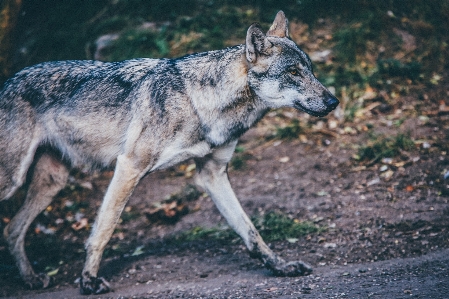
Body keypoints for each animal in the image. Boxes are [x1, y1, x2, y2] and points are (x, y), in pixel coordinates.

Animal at [0, 11, 336, 296]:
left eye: (311, 70)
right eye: (293, 72)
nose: (334, 102)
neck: (200, 103)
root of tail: (7, 81)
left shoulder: (212, 174)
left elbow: (250, 231)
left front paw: (280, 266)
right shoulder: (129, 166)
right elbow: (104, 229)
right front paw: (89, 281)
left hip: (52, 182)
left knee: (12, 229)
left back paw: (31, 279)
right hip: (14, 180)